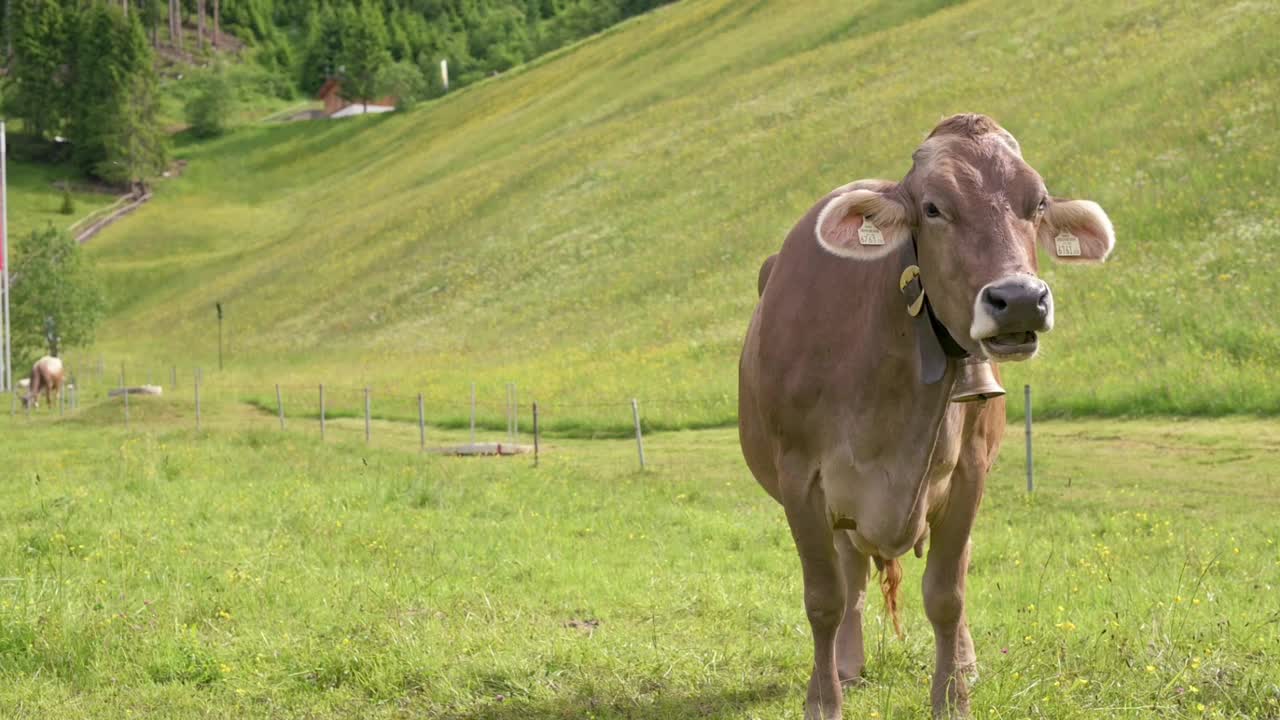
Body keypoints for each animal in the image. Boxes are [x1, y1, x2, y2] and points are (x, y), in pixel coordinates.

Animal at [737, 114, 1116, 712]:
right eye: (934, 208)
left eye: (1038, 203)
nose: (1020, 299)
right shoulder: (800, 478)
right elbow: (824, 599)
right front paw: (823, 702)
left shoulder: (968, 475)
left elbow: (947, 593)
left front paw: (952, 697)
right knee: (851, 580)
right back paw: (845, 666)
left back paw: (964, 663)